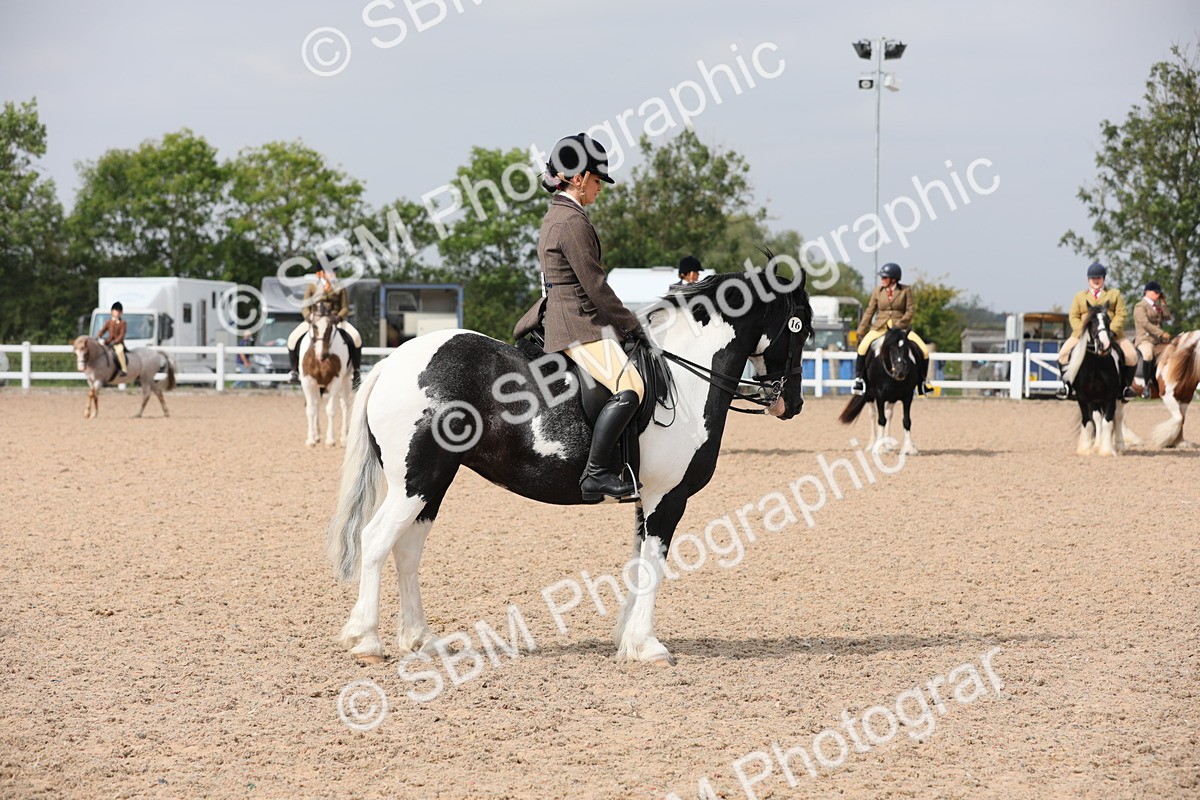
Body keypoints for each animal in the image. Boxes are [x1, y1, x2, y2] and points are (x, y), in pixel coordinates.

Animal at [299, 304, 352, 447]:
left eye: (329, 327)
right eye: (314, 326)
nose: (321, 355)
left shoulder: (335, 381)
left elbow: (331, 410)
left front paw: (330, 439)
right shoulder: (307, 381)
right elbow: (311, 409)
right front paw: (311, 439)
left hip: (346, 380)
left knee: (345, 405)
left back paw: (344, 438)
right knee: (317, 404)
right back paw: (317, 436)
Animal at [325, 265, 812, 666]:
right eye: (802, 325)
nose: (791, 403)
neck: (684, 378)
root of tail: (392, 364)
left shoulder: (644, 498)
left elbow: (636, 564)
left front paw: (625, 640)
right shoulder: (667, 497)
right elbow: (655, 564)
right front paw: (648, 646)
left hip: (432, 482)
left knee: (406, 549)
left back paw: (421, 640)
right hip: (417, 480)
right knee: (376, 540)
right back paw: (366, 640)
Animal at [837, 327, 921, 456]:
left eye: (907, 348)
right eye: (890, 347)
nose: (901, 372)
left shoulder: (908, 396)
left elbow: (906, 420)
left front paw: (909, 448)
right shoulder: (880, 395)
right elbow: (881, 420)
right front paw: (880, 448)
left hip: (892, 397)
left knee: (889, 414)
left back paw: (888, 444)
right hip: (870, 396)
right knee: (873, 415)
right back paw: (872, 444)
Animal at [1064, 305, 1127, 456]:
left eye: (1108, 321)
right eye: (1091, 322)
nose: (1104, 344)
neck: (1095, 365)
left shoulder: (1110, 397)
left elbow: (1108, 421)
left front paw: (1107, 451)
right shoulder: (1082, 398)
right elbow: (1088, 422)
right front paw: (1085, 450)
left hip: (1118, 398)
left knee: (1118, 417)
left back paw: (1119, 446)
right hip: (1095, 400)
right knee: (1097, 419)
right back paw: (1097, 445)